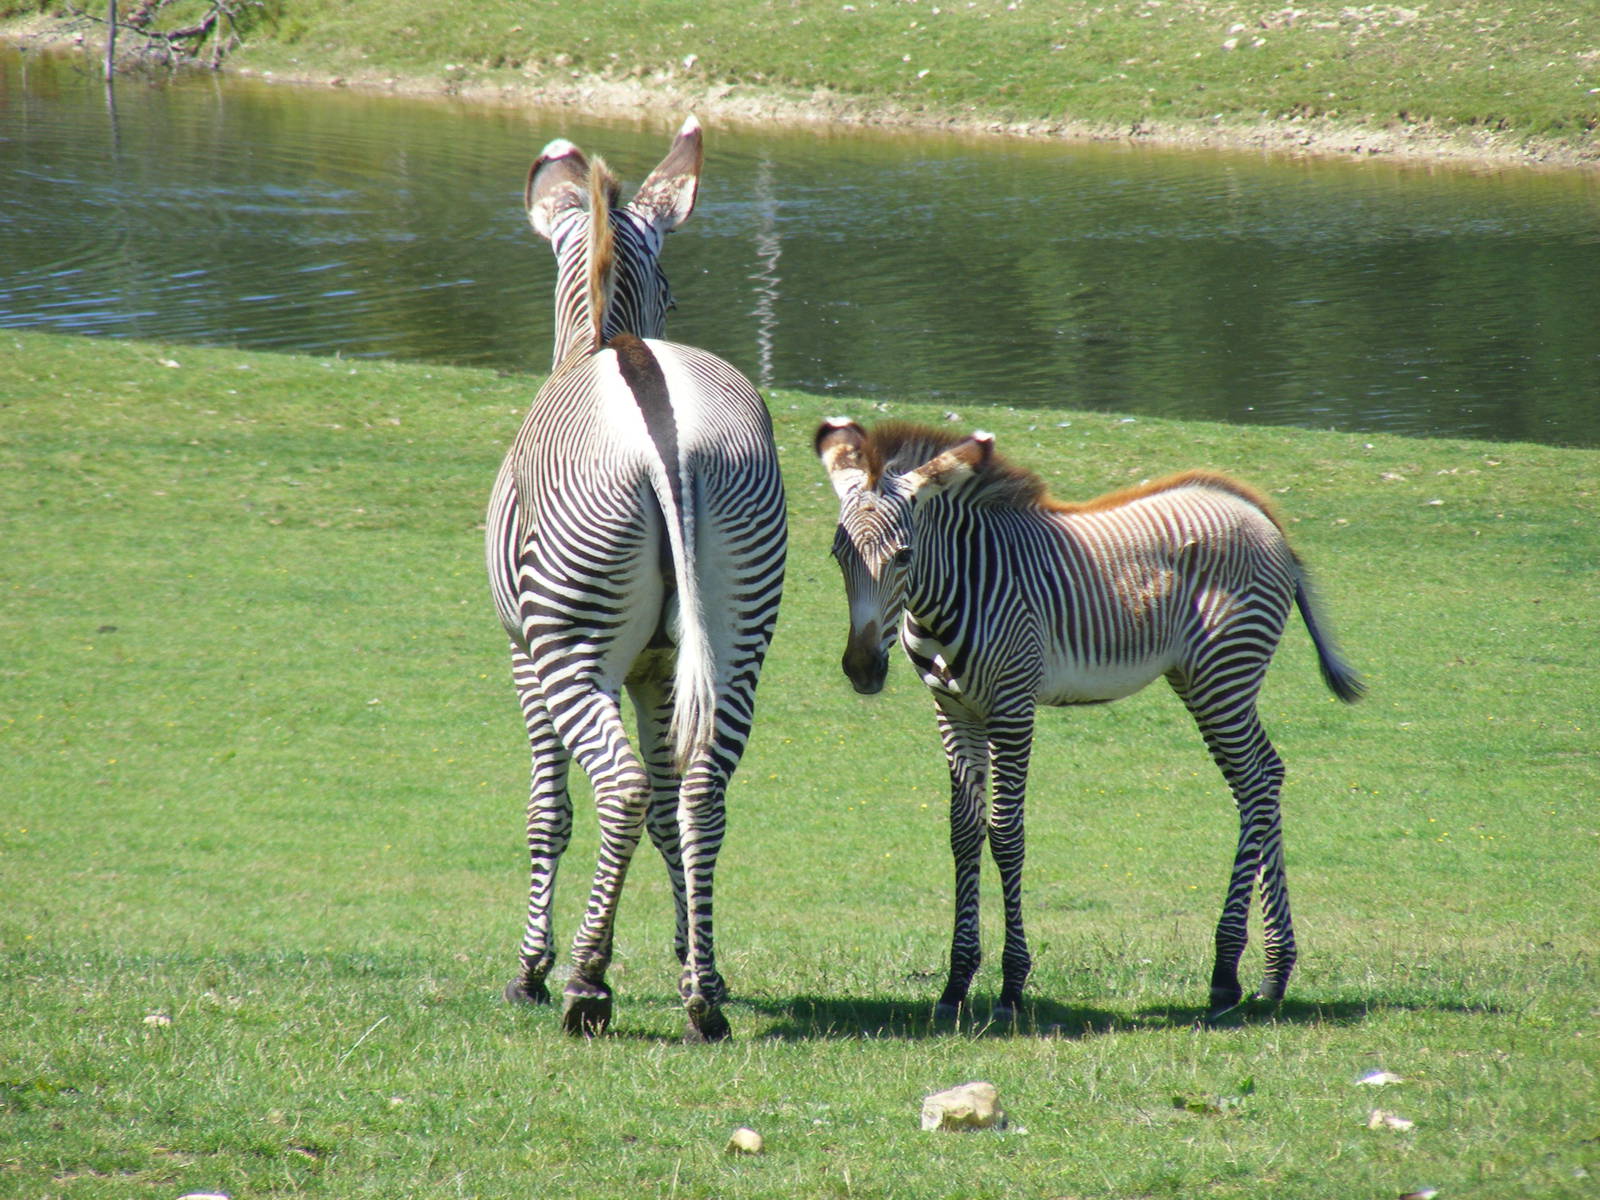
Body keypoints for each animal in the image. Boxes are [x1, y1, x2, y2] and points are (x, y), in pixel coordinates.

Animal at [486, 117, 786, 1041]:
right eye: (678, 295)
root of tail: (661, 421)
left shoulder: (524, 655)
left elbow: (550, 812)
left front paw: (535, 967)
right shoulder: (659, 667)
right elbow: (665, 809)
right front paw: (691, 955)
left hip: (570, 643)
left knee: (618, 789)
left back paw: (584, 986)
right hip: (736, 636)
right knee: (699, 793)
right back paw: (704, 1000)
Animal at [814, 417, 1362, 1022]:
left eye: (904, 556)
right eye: (839, 553)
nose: (862, 669)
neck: (952, 592)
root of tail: (1259, 514)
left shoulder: (1011, 706)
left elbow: (1006, 834)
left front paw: (1011, 987)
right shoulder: (953, 709)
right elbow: (963, 833)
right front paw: (956, 984)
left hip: (1224, 674)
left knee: (1256, 783)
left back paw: (1227, 973)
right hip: (1203, 679)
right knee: (1264, 776)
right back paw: (1274, 972)